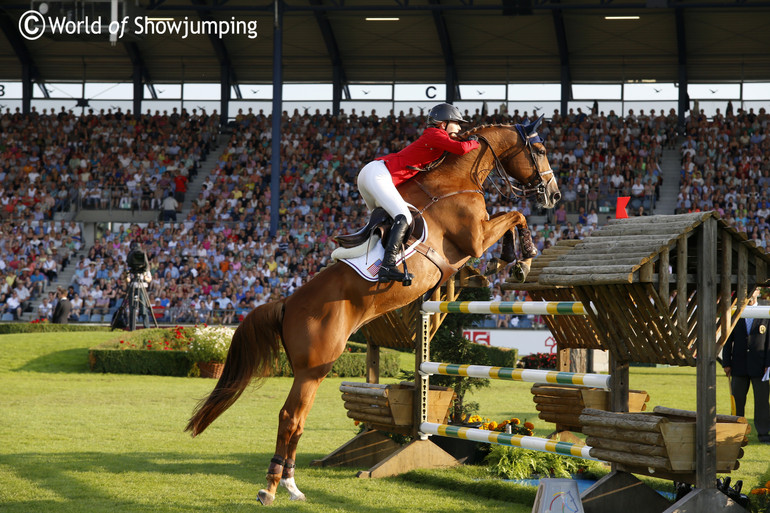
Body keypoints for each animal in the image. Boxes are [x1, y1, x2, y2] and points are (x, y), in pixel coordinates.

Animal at [186, 121, 560, 504]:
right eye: (541, 150)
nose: (555, 195)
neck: (455, 181)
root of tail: (287, 303)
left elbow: (510, 218)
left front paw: (511, 260)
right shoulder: (475, 238)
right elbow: (515, 215)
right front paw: (522, 258)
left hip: (314, 370)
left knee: (299, 420)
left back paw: (292, 485)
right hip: (312, 368)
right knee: (289, 417)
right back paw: (271, 487)